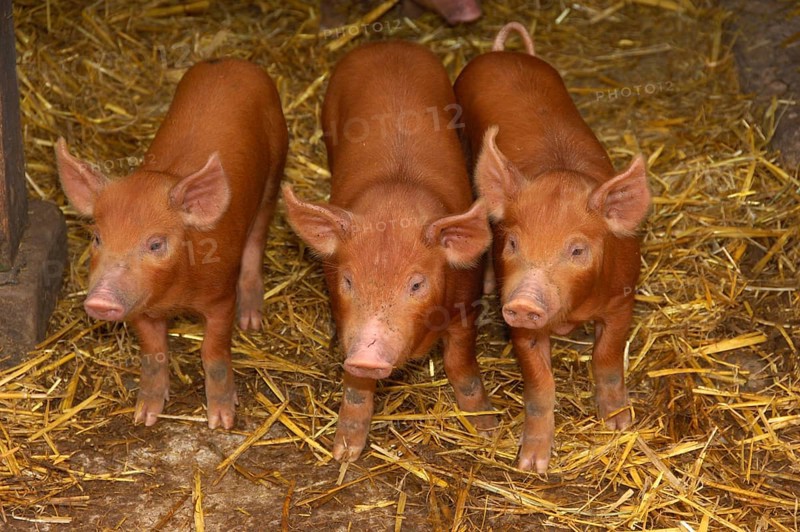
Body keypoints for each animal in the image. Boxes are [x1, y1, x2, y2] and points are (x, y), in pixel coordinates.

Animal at [56, 58, 288, 430]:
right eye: (96, 237)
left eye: (155, 244)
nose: (100, 301)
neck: (174, 294)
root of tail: (232, 61)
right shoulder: (139, 304)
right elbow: (153, 353)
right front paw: (144, 416)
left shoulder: (221, 298)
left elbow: (214, 352)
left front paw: (221, 421)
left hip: (275, 171)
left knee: (256, 239)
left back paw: (251, 320)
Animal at [283, 41, 495, 462]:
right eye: (349, 280)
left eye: (416, 284)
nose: (367, 353)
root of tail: (388, 44)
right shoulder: (342, 314)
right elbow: (354, 383)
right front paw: (344, 453)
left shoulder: (467, 302)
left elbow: (461, 363)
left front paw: (486, 428)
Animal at [454, 22, 651, 473]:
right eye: (512, 241)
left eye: (577, 250)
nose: (524, 301)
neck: (570, 313)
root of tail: (503, 53)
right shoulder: (519, 326)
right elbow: (540, 384)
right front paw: (531, 465)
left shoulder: (622, 300)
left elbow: (607, 359)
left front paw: (619, 424)